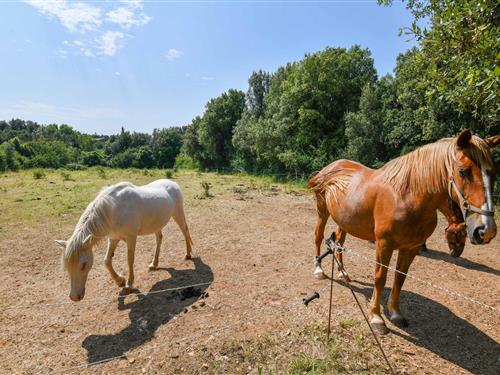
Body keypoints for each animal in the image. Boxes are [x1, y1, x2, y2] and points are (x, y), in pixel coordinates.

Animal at [56, 179, 193, 302]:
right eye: (67, 266)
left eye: (83, 265)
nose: (74, 297)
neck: (112, 209)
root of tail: (173, 183)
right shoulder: (113, 238)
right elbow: (107, 261)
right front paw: (120, 281)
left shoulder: (131, 237)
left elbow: (130, 260)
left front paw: (129, 285)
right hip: (157, 224)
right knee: (159, 238)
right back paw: (154, 264)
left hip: (178, 214)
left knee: (185, 231)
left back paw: (188, 254)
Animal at [310, 131, 498, 334]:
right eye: (463, 171)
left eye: (493, 172)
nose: (486, 230)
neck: (407, 196)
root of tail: (330, 167)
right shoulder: (384, 244)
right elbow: (380, 278)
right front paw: (376, 317)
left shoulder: (411, 247)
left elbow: (399, 278)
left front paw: (395, 313)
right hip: (322, 211)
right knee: (318, 237)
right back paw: (319, 270)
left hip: (344, 221)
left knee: (339, 243)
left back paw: (343, 272)